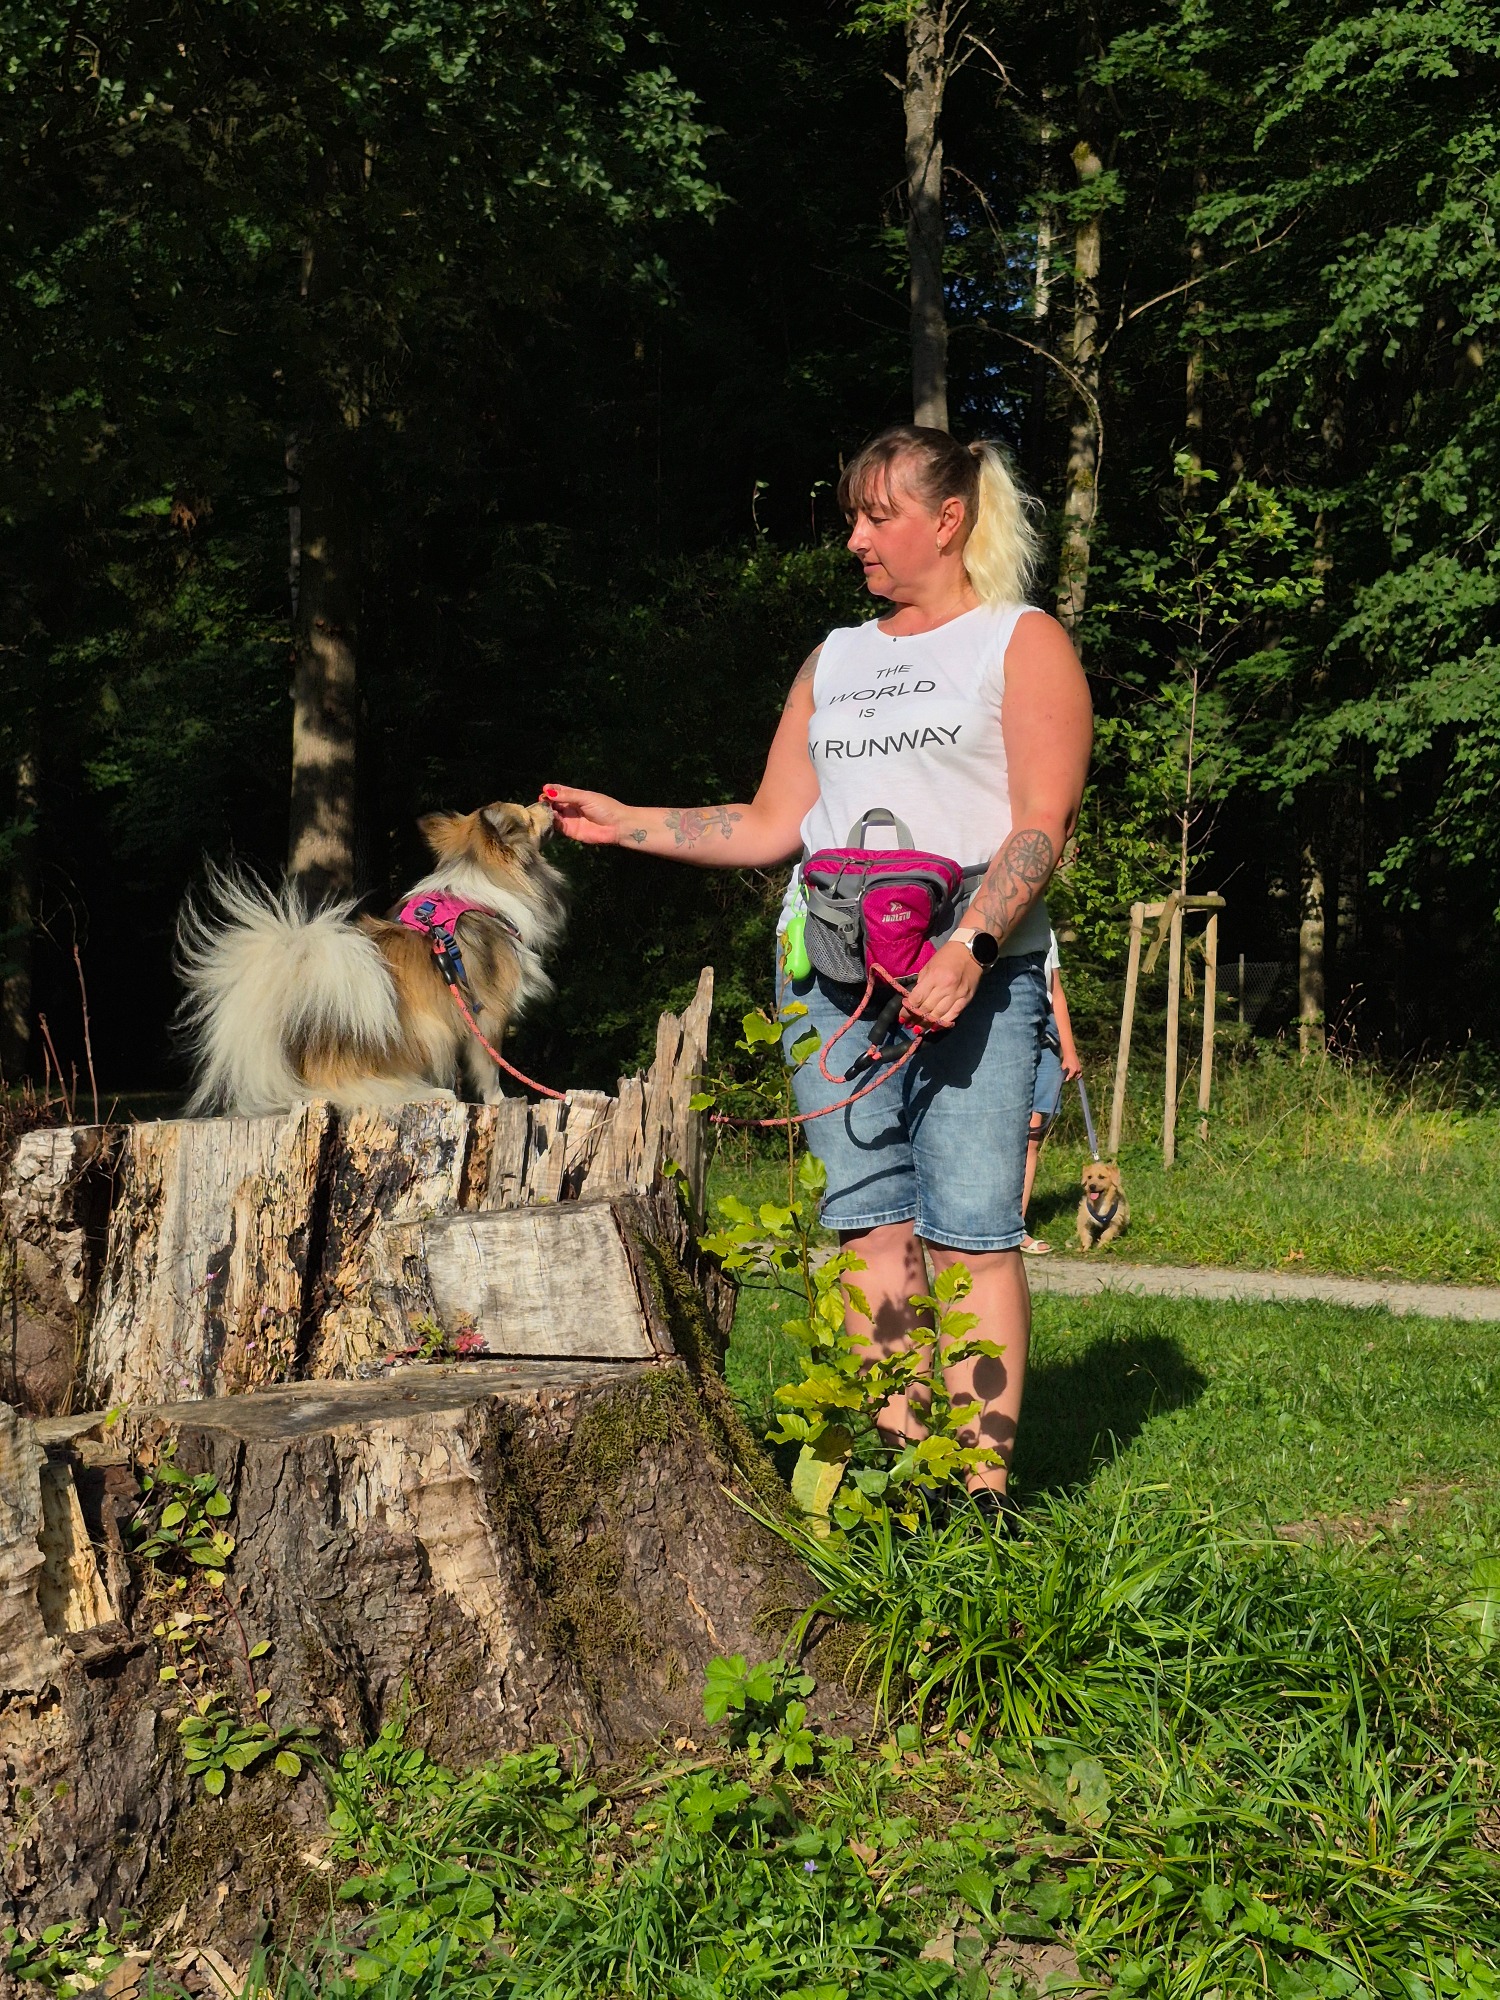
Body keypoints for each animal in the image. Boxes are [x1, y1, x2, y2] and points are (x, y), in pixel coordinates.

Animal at [177, 801, 564, 1115]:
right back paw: (432, 1093)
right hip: (428, 1030)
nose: (549, 802)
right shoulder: (489, 1013)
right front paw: (502, 1100)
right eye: (527, 815)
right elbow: (491, 1065)